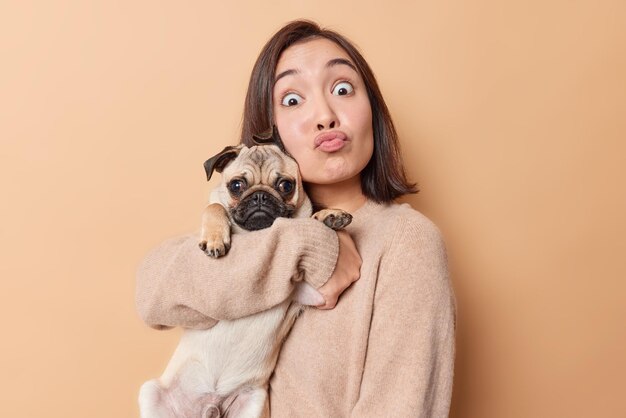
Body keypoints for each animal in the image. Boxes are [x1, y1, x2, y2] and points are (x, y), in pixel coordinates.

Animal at [139, 129, 352, 416]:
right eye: (237, 186)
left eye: (286, 186)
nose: (260, 196)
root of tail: (209, 407)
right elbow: (215, 207)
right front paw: (215, 238)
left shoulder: (312, 292)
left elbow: (307, 222)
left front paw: (329, 216)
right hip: (150, 391)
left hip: (255, 400)